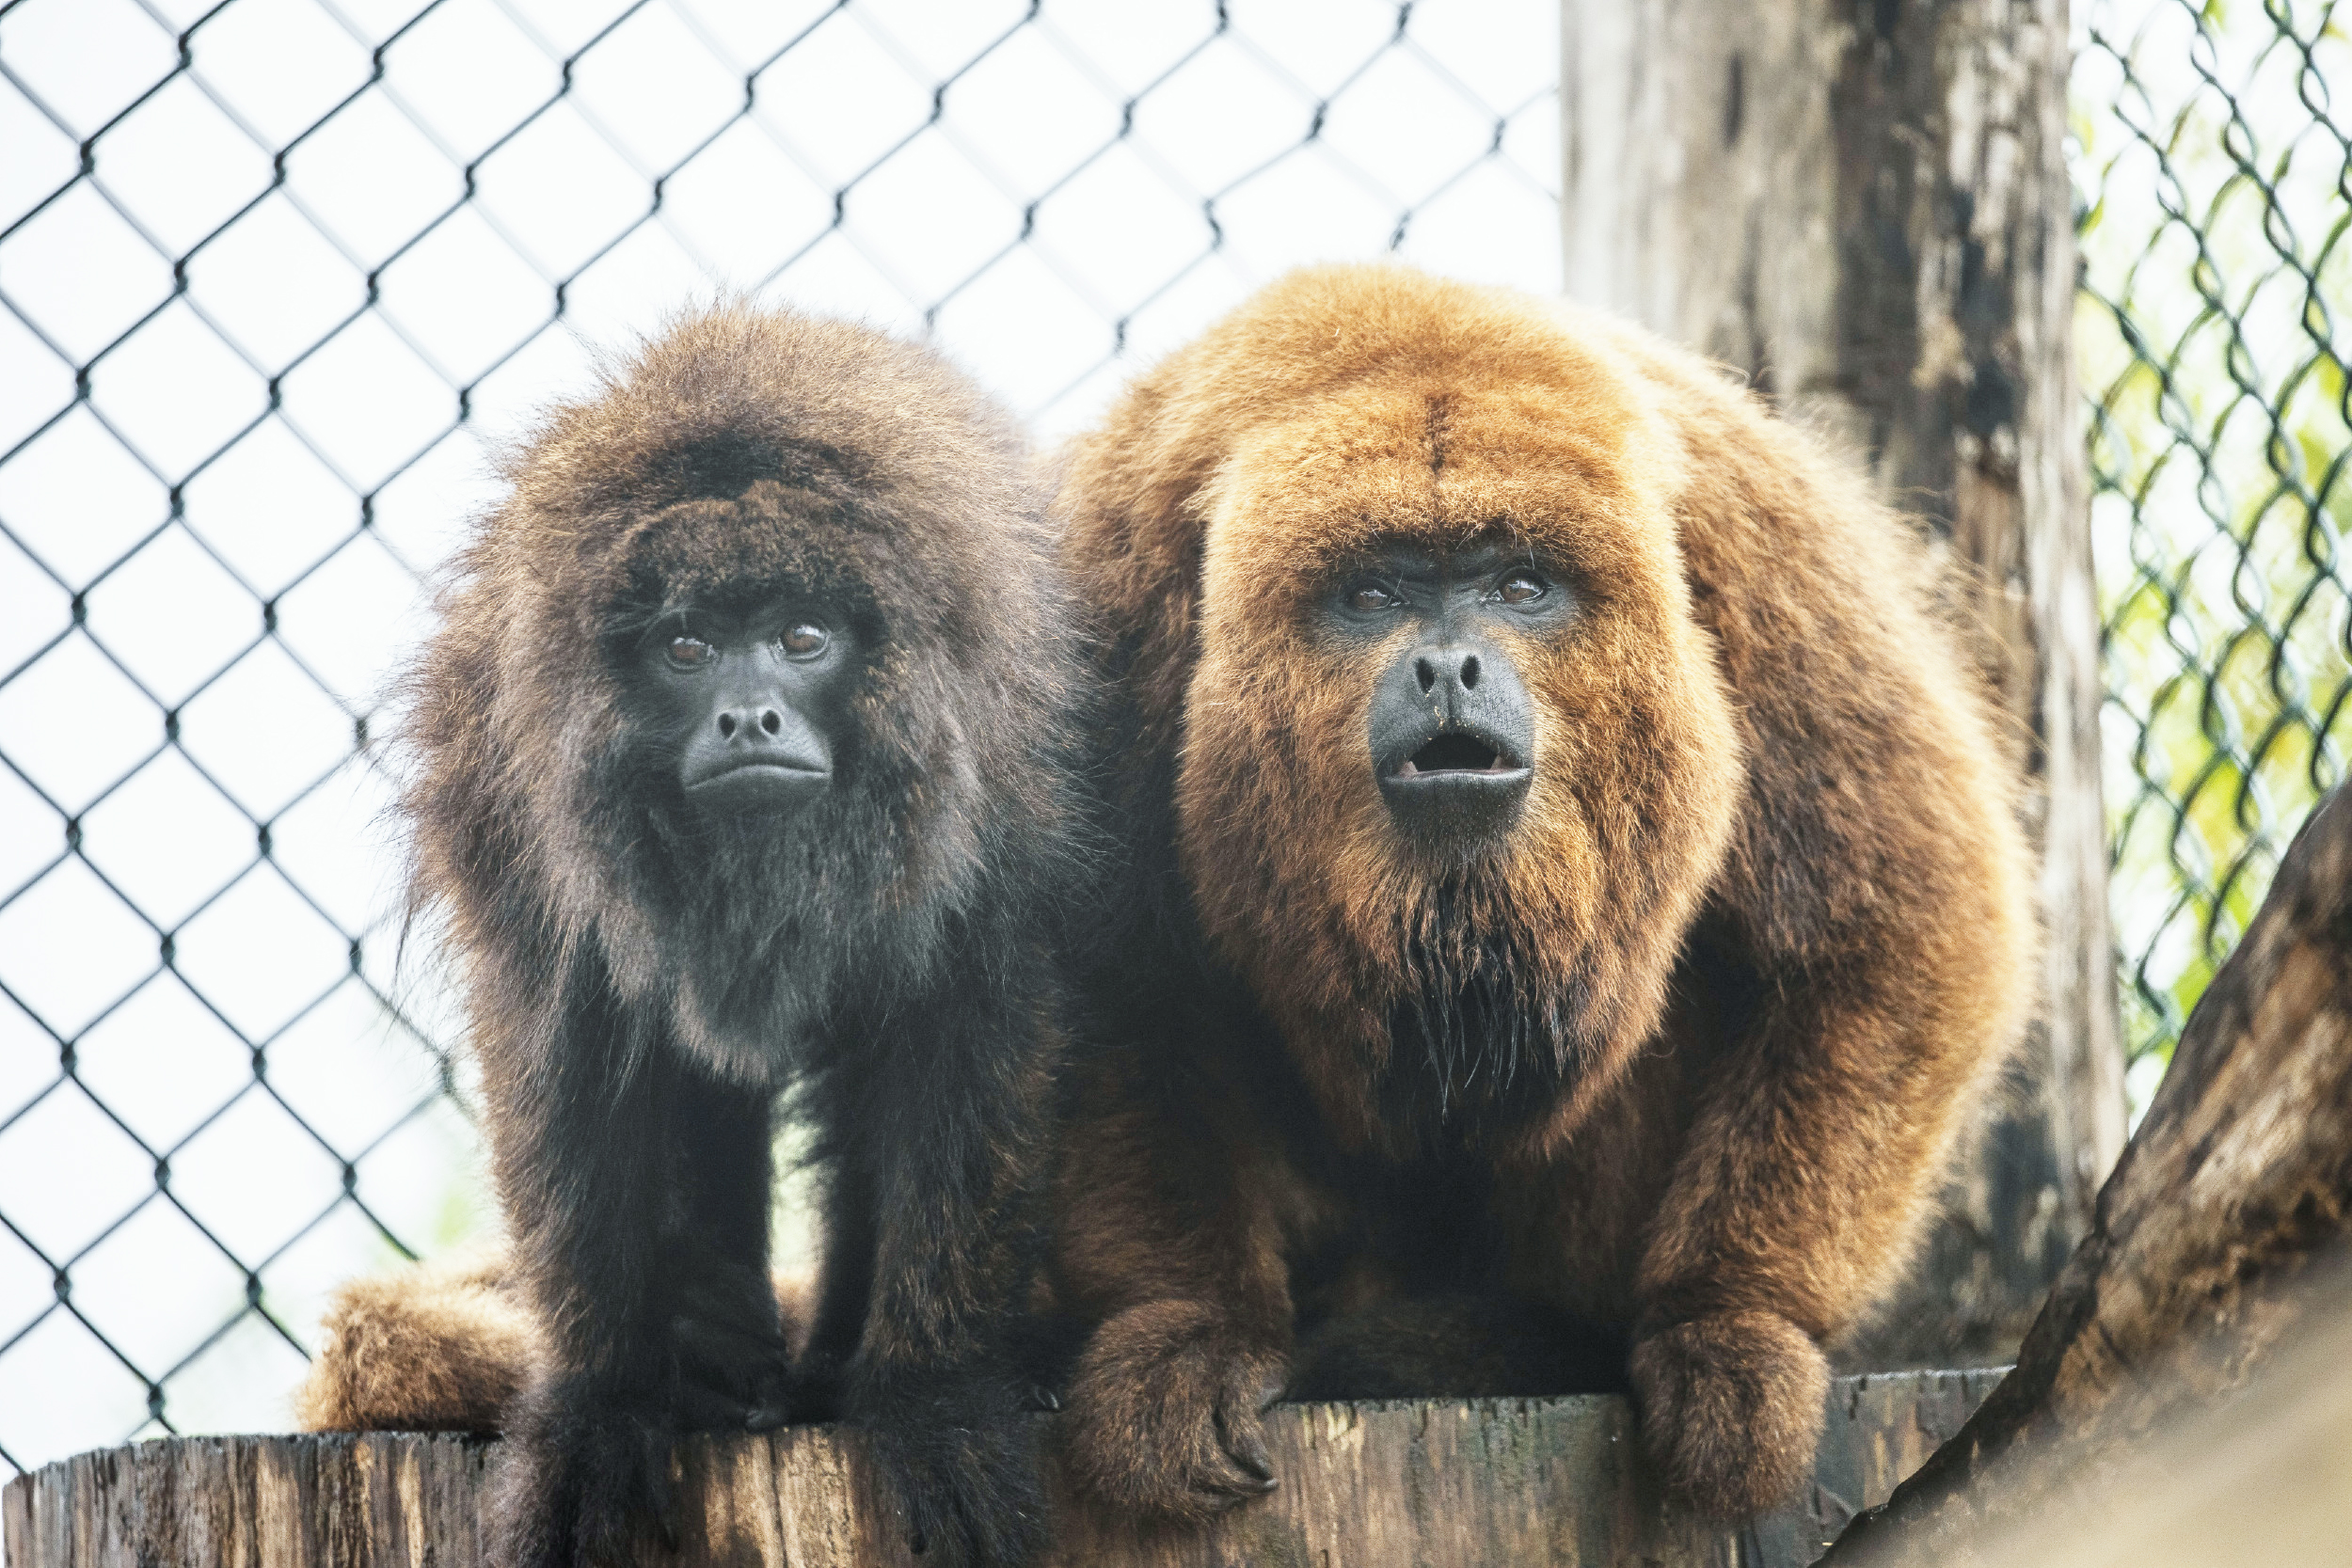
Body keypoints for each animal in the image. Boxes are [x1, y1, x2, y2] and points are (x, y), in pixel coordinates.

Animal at [1049, 262, 2042, 1523]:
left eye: (1520, 586)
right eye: (1372, 594)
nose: (1447, 664)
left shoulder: (1758, 540)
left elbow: (1899, 912)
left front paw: (1729, 1317)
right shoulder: (1105, 581)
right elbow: (1097, 974)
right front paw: (1192, 1327)